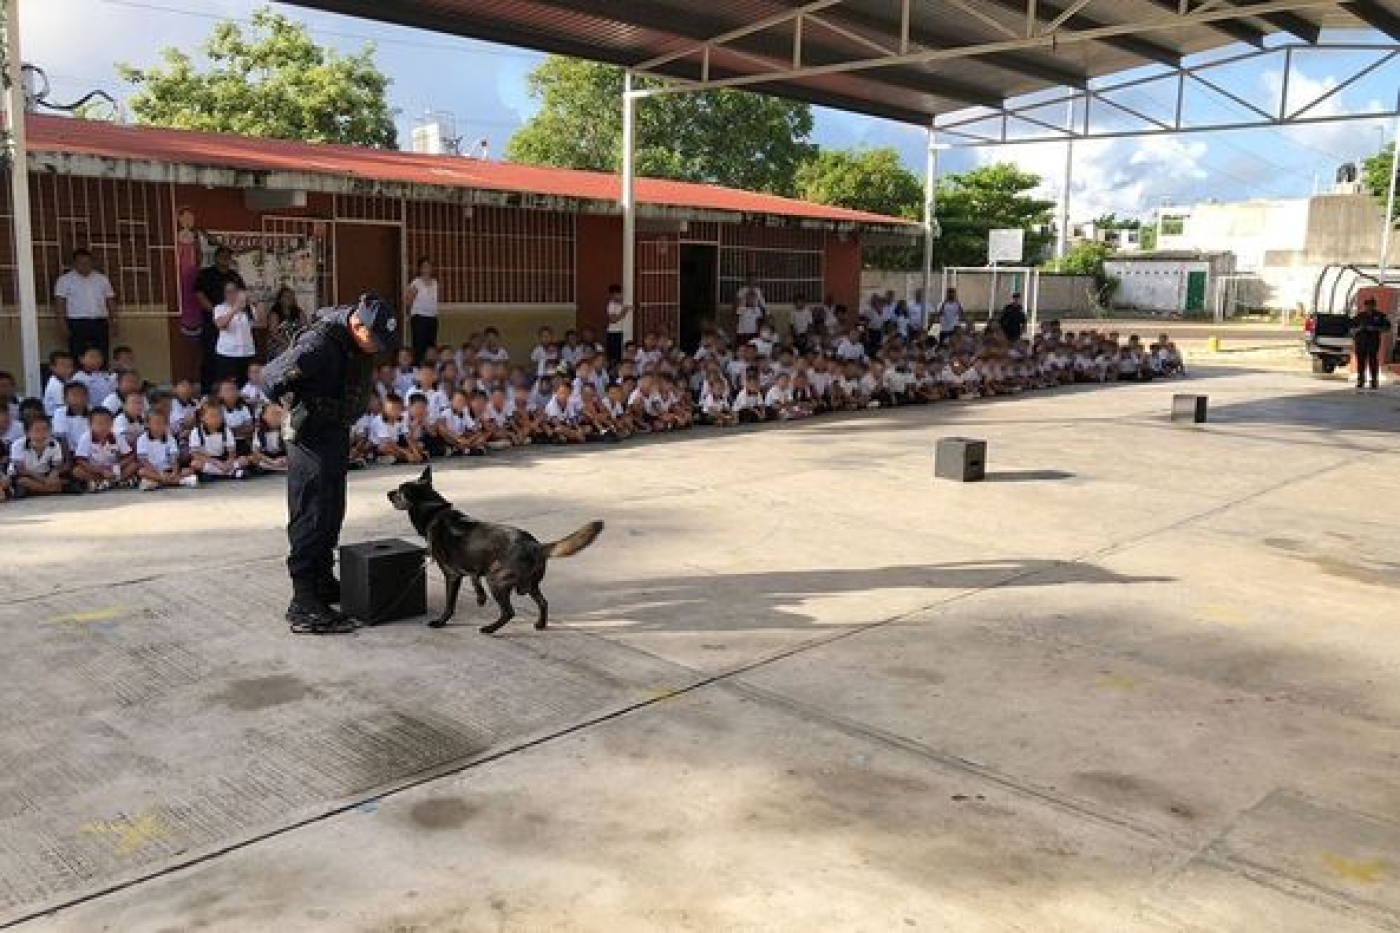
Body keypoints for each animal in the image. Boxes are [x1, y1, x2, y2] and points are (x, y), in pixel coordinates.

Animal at [389, 465, 602, 633]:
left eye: (399, 491)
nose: (388, 493)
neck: (434, 511)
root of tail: (535, 545)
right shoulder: (472, 565)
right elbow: (475, 579)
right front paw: (480, 598)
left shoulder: (452, 575)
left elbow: (449, 604)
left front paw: (441, 622)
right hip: (530, 584)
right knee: (543, 602)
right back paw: (540, 624)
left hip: (497, 579)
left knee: (509, 612)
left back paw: (490, 629)